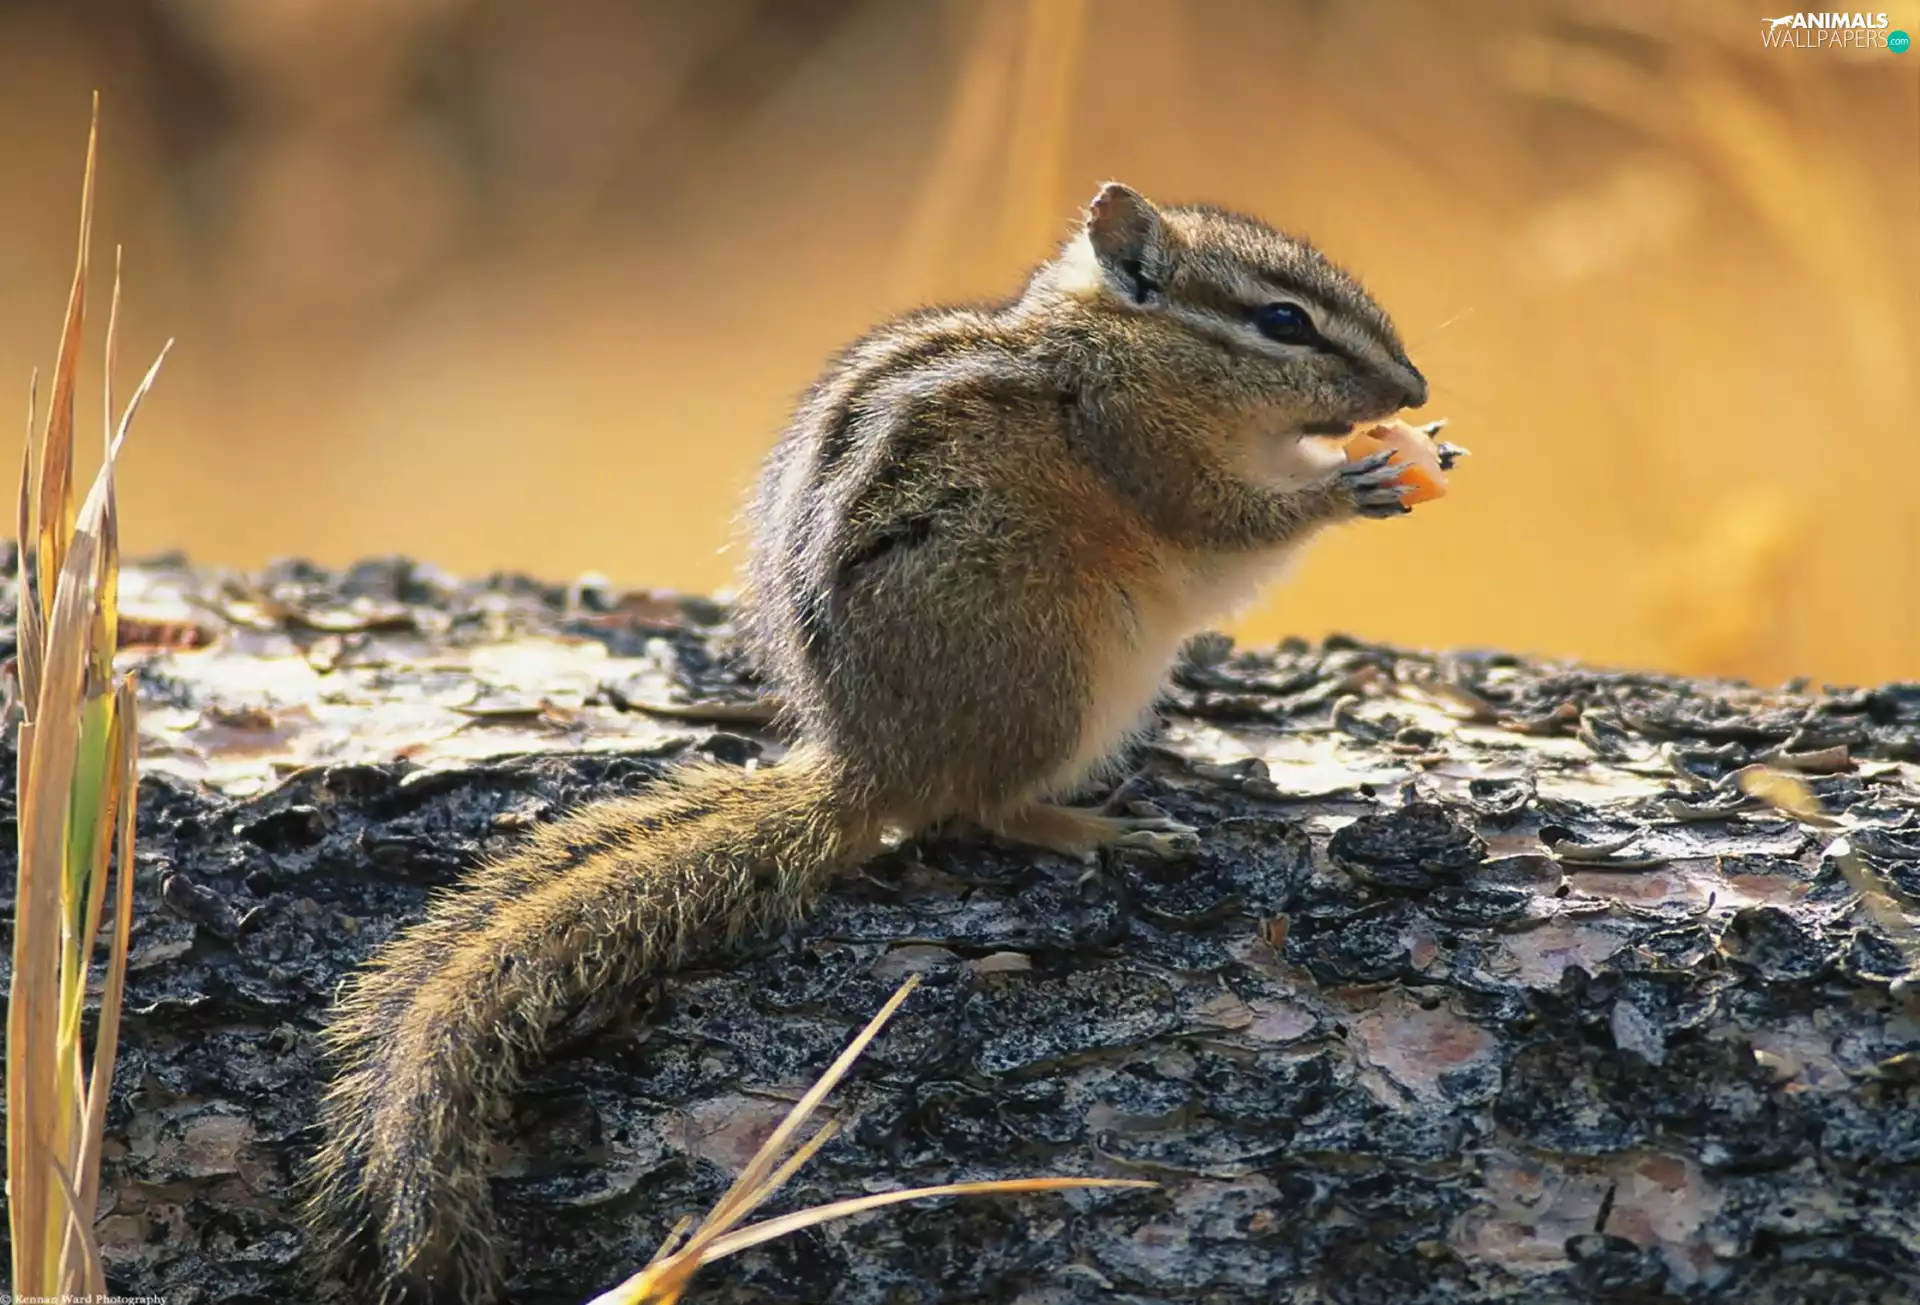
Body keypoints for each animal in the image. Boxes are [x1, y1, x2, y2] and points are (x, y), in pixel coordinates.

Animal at [306, 182, 1429, 1302]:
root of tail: (869, 765)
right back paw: (1103, 830)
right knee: (988, 807)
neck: (1119, 348)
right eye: (1283, 320)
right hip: (1063, 664)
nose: (1413, 389)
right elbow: (1233, 523)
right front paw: (1350, 483)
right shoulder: (1148, 452)